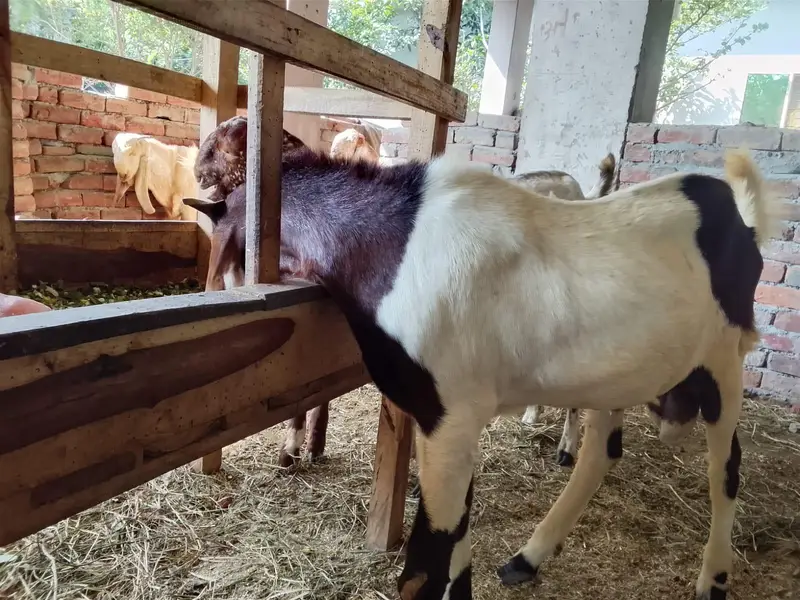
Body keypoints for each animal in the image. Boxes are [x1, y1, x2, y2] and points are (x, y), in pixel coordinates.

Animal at [186, 144, 771, 600]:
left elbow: (425, 567)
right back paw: (529, 556)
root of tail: (741, 218)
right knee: (600, 454)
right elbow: (457, 546)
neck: (399, 248)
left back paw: (713, 580)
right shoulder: (449, 424)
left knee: (727, 468)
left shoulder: (450, 417)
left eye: (223, 245)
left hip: (724, 360)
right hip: (619, 374)